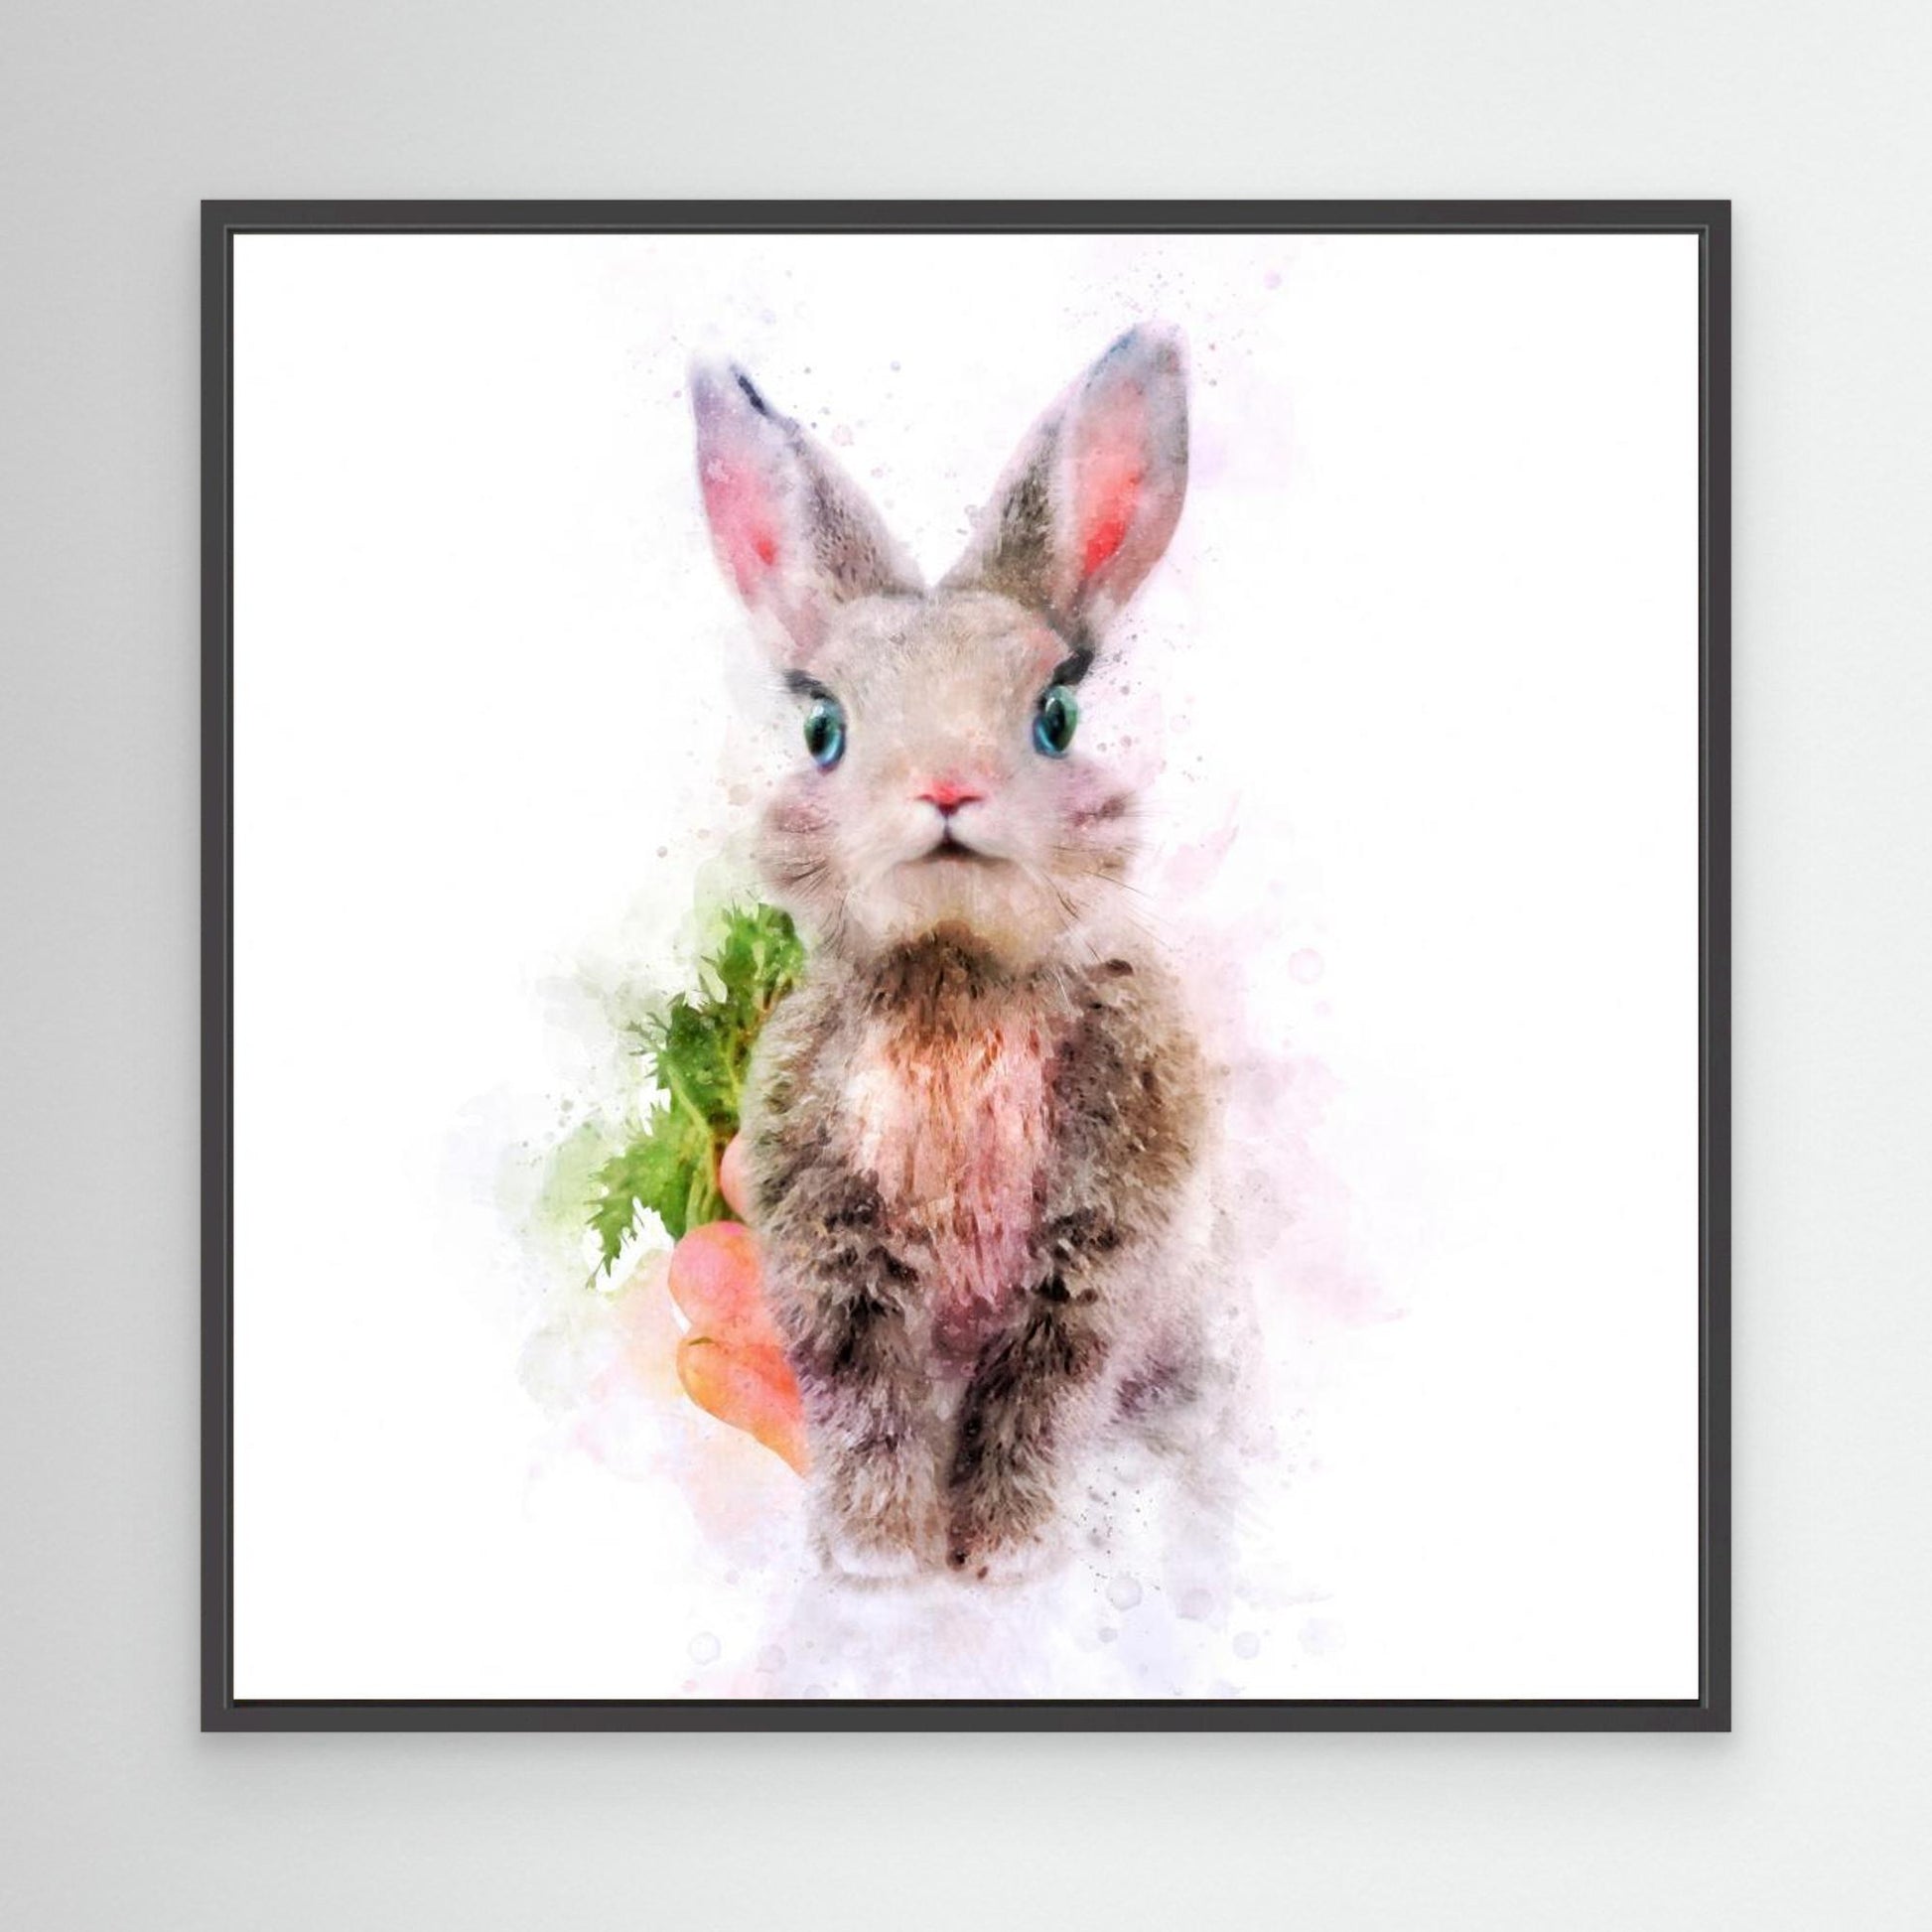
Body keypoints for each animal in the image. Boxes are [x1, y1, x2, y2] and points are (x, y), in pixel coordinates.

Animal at [689, 327, 1216, 1582]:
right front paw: (880, 1556)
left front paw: (1001, 1556)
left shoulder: (1095, 1253)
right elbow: (866, 1405)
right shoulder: (831, 1249)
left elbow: (1037, 1399)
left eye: (1056, 717)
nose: (943, 788)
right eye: (823, 730)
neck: (953, 977)